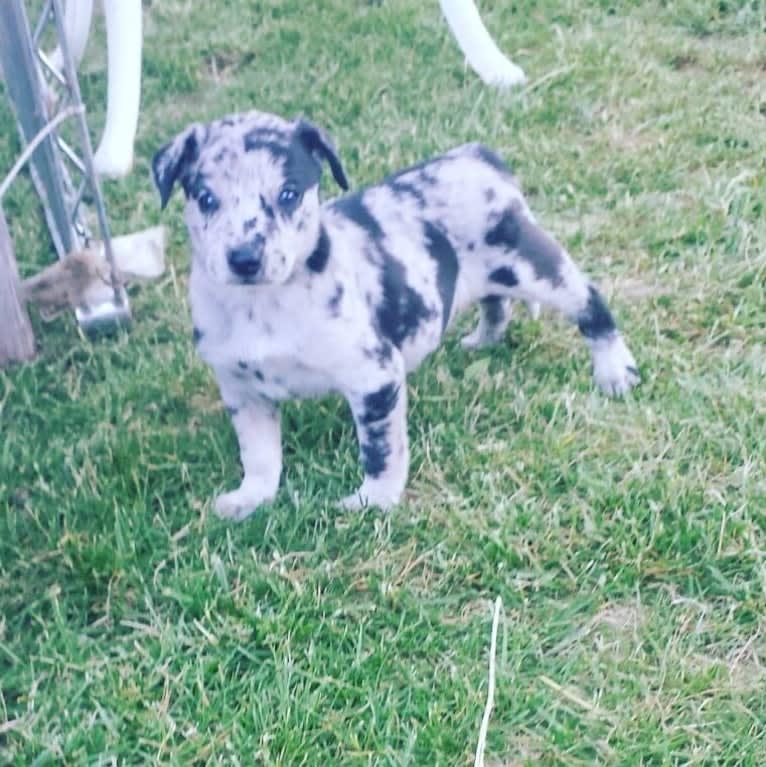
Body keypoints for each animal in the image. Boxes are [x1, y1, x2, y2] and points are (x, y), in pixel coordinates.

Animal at [152, 111, 640, 520]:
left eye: (288, 195)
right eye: (205, 198)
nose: (244, 259)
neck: (261, 305)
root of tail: (478, 157)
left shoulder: (375, 377)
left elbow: (381, 450)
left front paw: (375, 499)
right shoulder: (243, 390)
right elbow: (259, 455)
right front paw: (252, 498)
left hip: (532, 266)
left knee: (590, 302)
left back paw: (614, 370)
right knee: (494, 302)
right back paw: (484, 340)